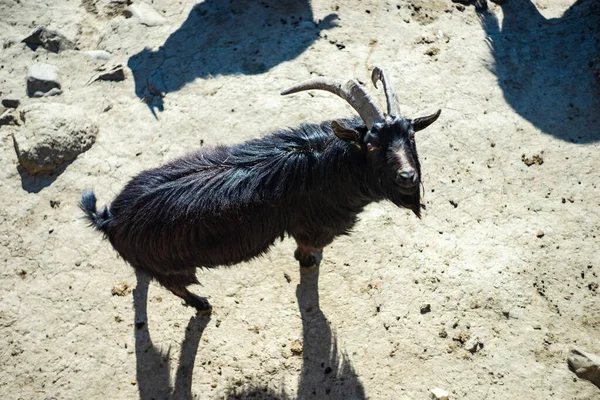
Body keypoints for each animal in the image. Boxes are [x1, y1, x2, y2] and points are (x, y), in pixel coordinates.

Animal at [81, 68, 440, 312]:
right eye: (371, 145)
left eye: (410, 136)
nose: (408, 176)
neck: (327, 165)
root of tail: (109, 217)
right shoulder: (312, 227)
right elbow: (305, 251)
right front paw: (308, 264)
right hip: (172, 266)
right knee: (175, 287)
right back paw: (202, 305)